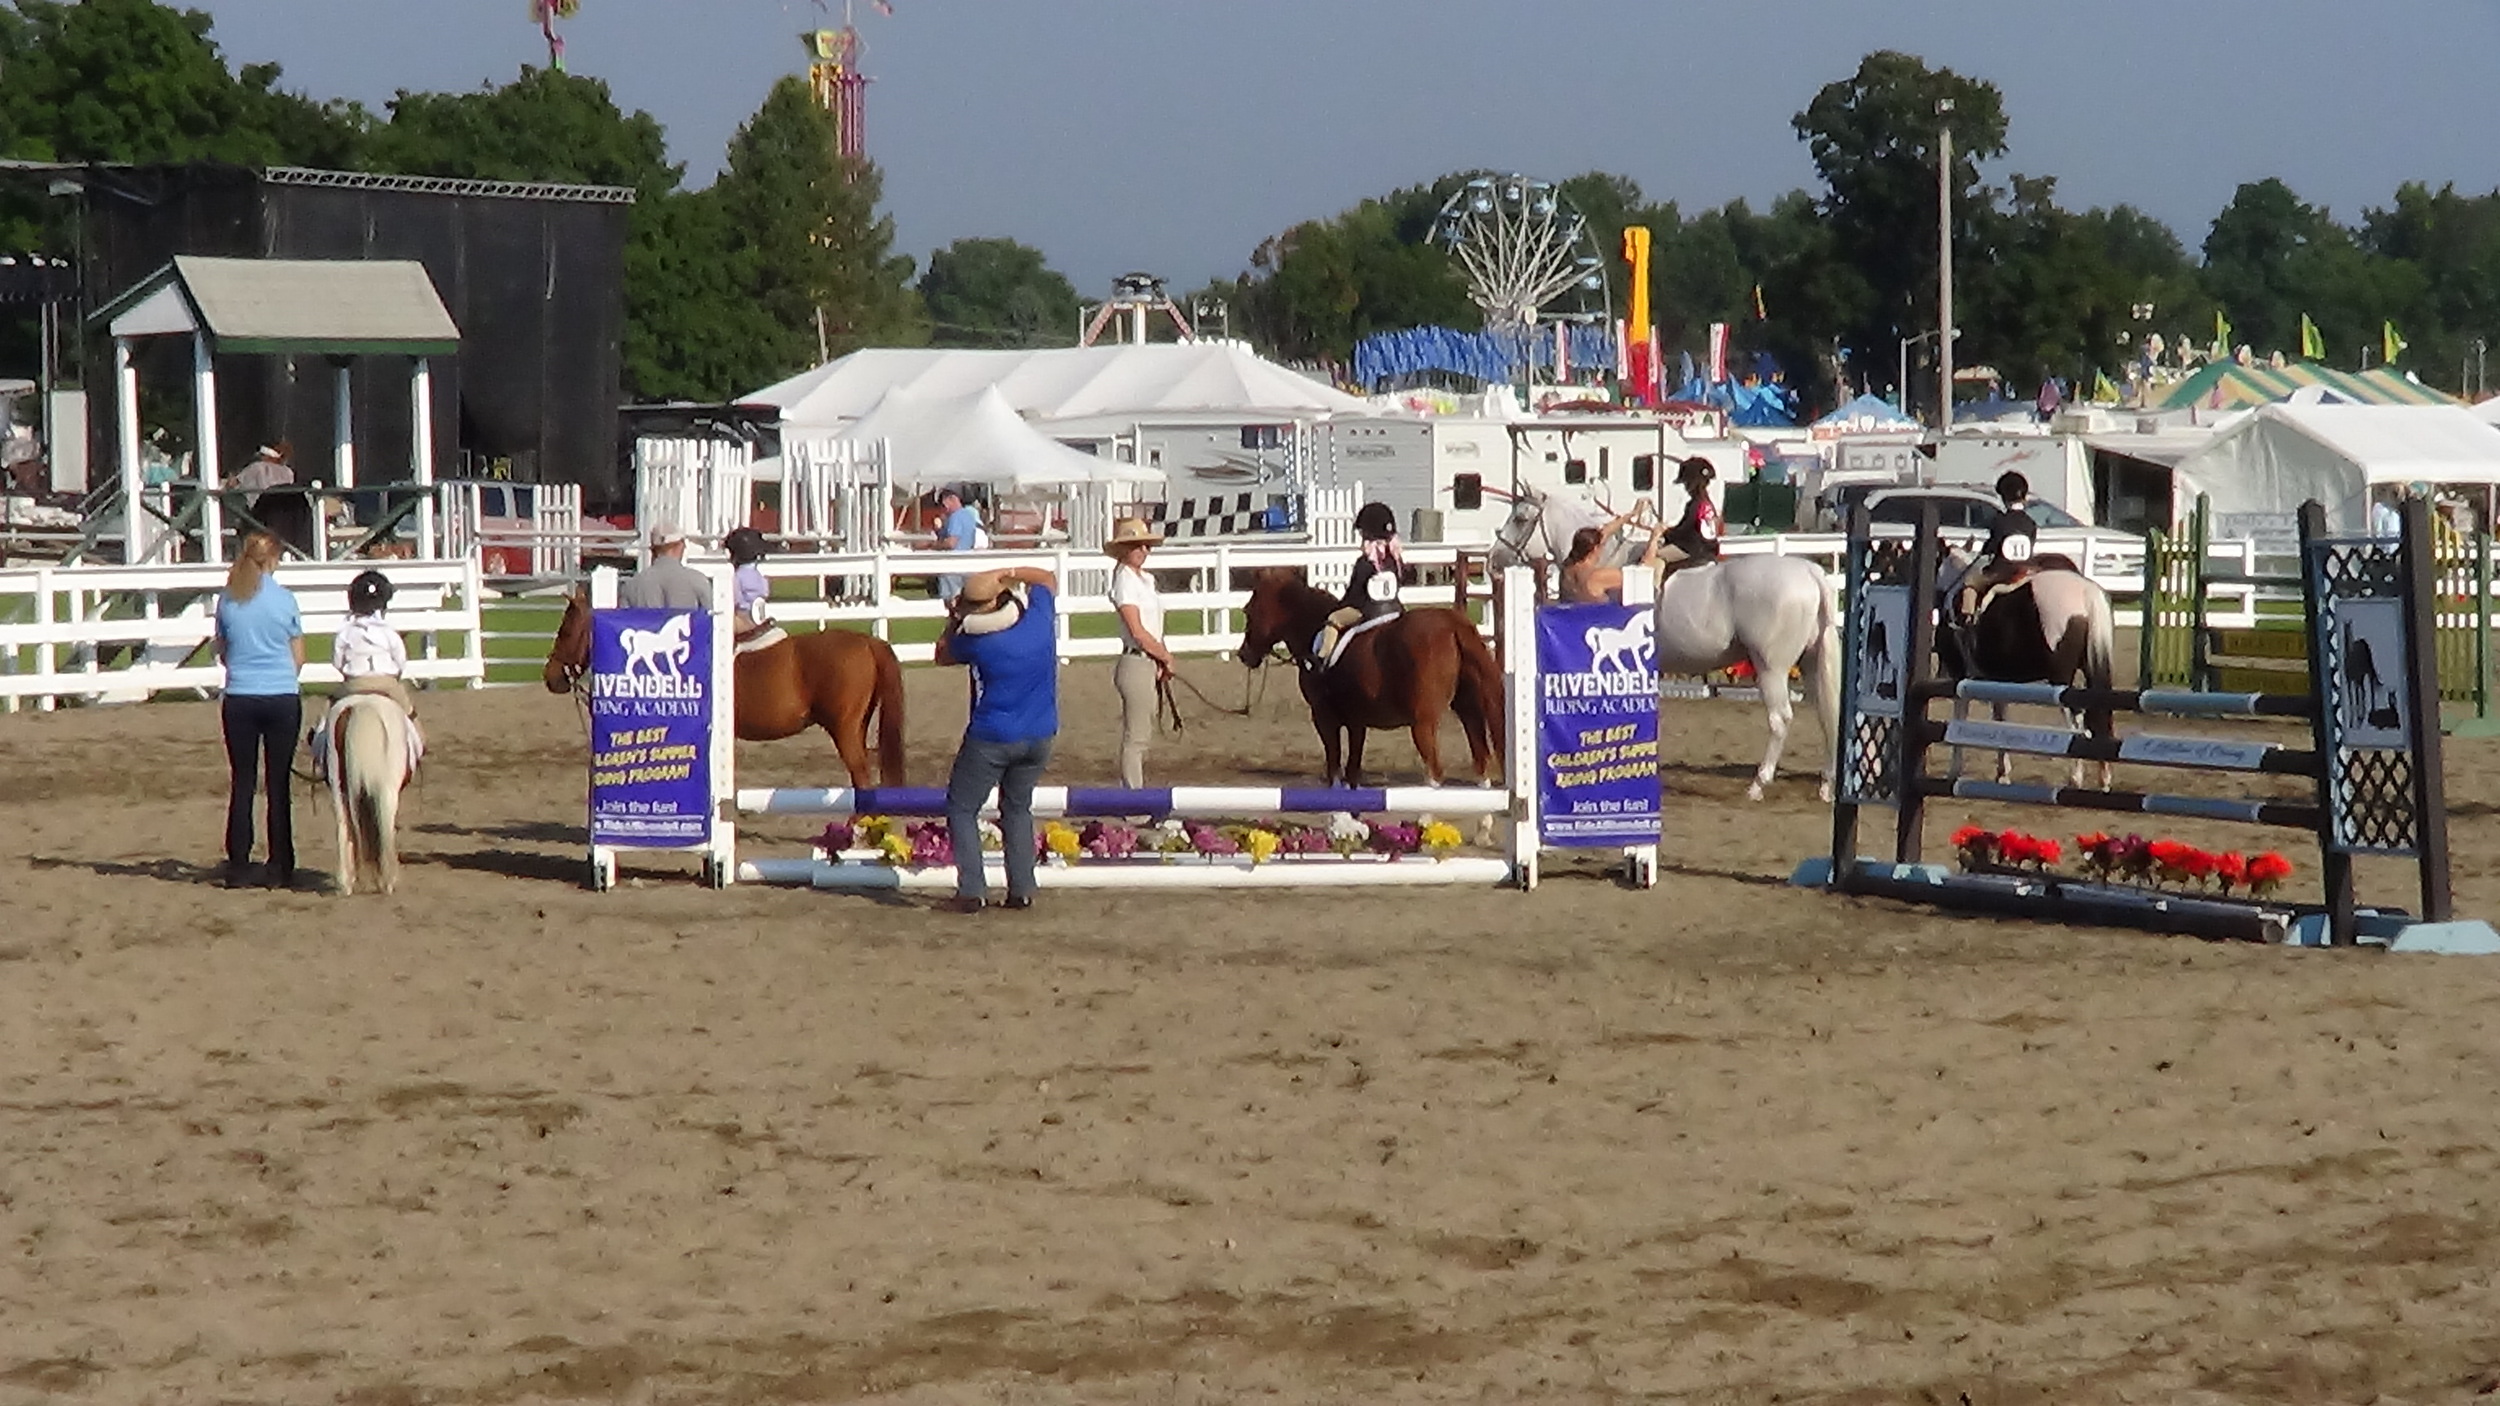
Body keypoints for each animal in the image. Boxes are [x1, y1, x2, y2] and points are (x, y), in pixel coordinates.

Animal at [323, 695, 414, 896]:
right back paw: (387, 881)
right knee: (384, 826)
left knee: (343, 827)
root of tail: (362, 706)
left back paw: (345, 883)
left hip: (338, 789)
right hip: (387, 792)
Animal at [1236, 568, 1502, 788]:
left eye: (1248, 611)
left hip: (1423, 724)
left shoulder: (1324, 718)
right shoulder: (1357, 721)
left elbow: (1334, 764)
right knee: (1480, 759)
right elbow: (1353, 769)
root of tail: (1452, 624)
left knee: (1436, 772)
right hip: (1468, 711)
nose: (1243, 655)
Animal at [1492, 484, 1841, 802]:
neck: (1603, 562)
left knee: (1780, 719)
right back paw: (1826, 784)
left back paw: (1758, 784)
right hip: (1809, 663)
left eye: (1520, 518)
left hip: (1771, 669)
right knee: (1825, 714)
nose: (1495, 559)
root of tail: (1809, 571)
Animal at [1936, 546, 2118, 788]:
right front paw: (2002, 773)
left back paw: (2076, 777)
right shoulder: (1997, 683)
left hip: (2061, 680)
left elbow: (1959, 722)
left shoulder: (1960, 680)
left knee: (2077, 722)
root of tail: (2085, 592)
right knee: (2097, 716)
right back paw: (2104, 778)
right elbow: (2000, 720)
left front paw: (1955, 771)